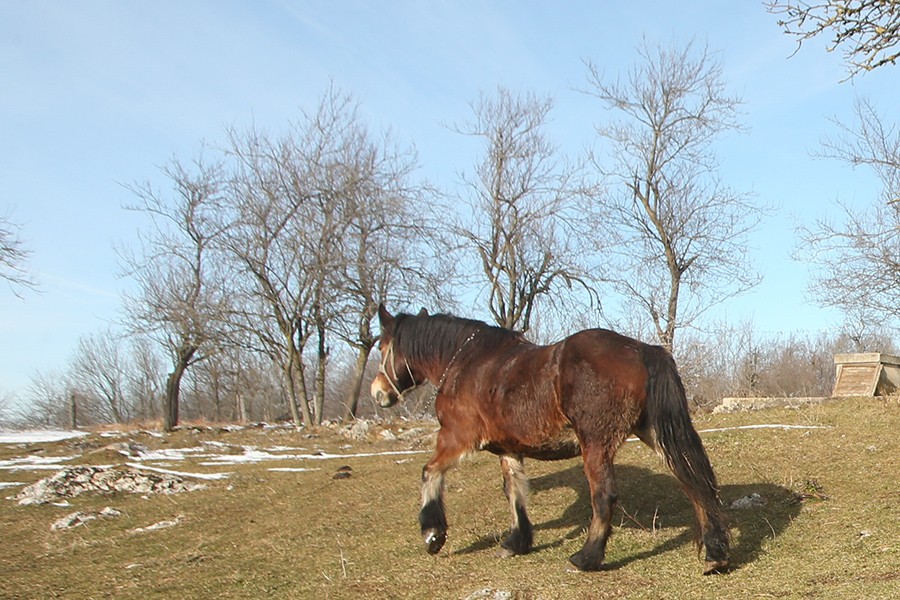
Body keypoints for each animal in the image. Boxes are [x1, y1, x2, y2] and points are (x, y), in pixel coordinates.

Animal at [370, 308, 728, 576]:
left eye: (383, 347)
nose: (377, 393)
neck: (466, 364)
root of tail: (644, 350)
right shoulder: (508, 450)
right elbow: (514, 492)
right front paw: (516, 542)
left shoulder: (456, 438)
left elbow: (429, 471)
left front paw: (433, 534)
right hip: (655, 433)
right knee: (693, 482)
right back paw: (716, 554)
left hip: (596, 444)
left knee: (605, 496)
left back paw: (587, 558)